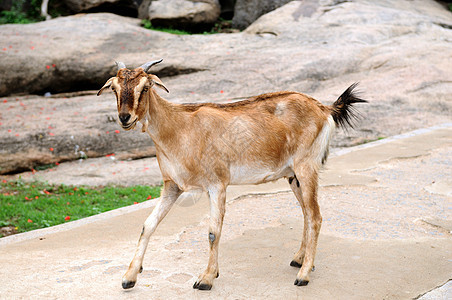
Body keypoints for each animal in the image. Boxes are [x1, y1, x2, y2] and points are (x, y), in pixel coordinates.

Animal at [97, 59, 366, 290]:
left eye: (144, 87)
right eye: (115, 89)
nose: (125, 118)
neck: (178, 128)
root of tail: (324, 108)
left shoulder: (217, 184)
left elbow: (213, 232)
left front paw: (206, 278)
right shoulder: (172, 186)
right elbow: (148, 225)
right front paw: (129, 277)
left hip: (306, 167)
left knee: (316, 216)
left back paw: (303, 275)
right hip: (293, 176)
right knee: (307, 214)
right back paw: (298, 259)